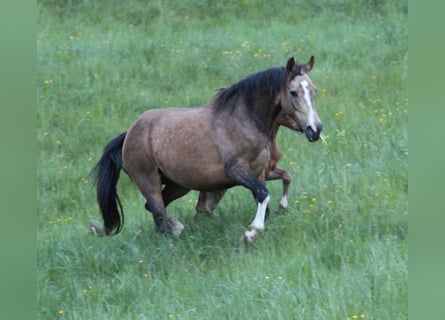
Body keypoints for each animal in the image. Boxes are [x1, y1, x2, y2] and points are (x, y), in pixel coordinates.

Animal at [93, 56, 322, 244]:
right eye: (293, 92)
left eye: (314, 90)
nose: (315, 129)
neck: (243, 120)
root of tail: (128, 135)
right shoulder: (236, 170)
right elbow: (264, 195)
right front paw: (251, 233)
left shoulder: (258, 172)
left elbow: (267, 195)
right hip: (148, 181)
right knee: (158, 216)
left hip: (178, 185)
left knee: (155, 210)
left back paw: (178, 227)